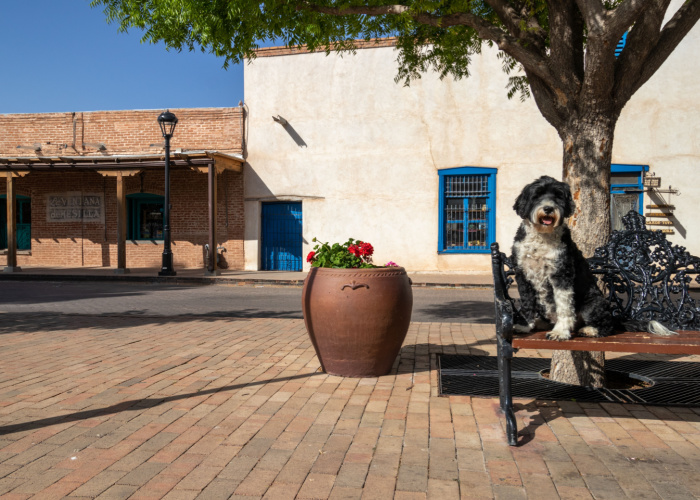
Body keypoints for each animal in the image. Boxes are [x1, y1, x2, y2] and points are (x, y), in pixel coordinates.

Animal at [512, 175, 676, 340]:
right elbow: (526, 303)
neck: (541, 237)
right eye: (537, 195)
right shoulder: (523, 276)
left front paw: (560, 332)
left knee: (607, 326)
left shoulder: (561, 275)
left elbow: (564, 306)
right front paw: (525, 325)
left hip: (592, 304)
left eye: (558, 196)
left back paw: (589, 330)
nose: (548, 208)